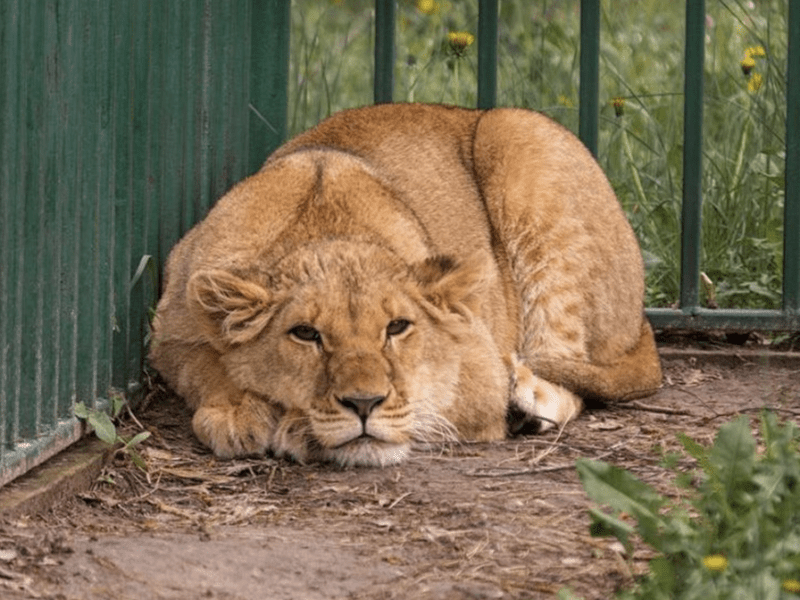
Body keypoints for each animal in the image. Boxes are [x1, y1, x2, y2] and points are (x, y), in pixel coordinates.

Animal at [150, 103, 664, 468]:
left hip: (525, 142)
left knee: (568, 370)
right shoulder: (171, 327)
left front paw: (302, 427)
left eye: (397, 327)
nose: (364, 404)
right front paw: (238, 413)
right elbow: (204, 367)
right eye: (306, 334)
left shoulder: (477, 361)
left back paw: (526, 400)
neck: (323, 228)